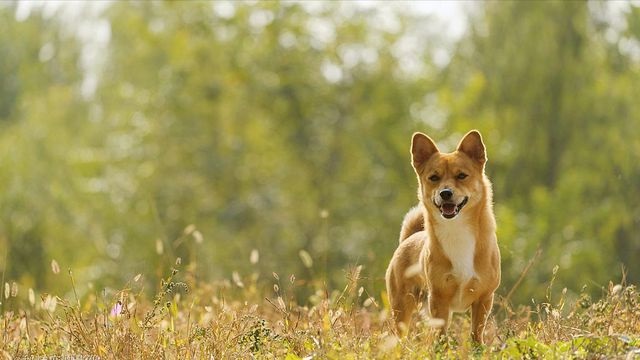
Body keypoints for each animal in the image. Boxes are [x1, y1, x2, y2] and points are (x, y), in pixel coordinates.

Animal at [384, 130, 500, 344]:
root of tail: (408, 239)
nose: (445, 193)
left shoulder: (484, 299)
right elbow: (441, 334)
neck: (456, 229)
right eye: (434, 177)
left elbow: (476, 333)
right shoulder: (439, 299)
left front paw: (477, 348)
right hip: (402, 306)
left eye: (461, 176)